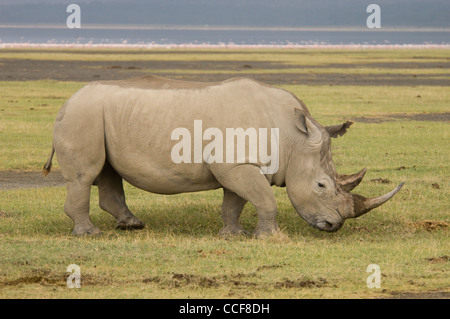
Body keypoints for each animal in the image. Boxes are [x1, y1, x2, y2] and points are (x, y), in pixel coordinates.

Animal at [43, 75, 404, 238]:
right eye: (321, 186)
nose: (334, 225)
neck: (292, 137)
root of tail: (66, 101)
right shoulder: (237, 164)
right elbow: (264, 199)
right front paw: (269, 237)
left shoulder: (239, 163)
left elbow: (235, 201)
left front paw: (234, 235)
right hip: (82, 115)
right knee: (86, 175)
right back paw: (89, 234)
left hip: (97, 117)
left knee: (106, 172)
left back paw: (132, 225)